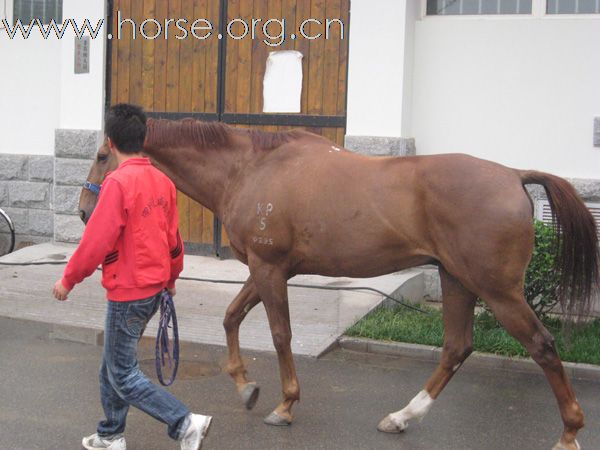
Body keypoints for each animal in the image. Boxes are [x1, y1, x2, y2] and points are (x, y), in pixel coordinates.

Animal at [78, 117, 596, 450]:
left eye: (103, 155)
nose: (85, 211)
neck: (250, 168)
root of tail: (513, 175)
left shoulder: (269, 270)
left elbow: (280, 335)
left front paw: (285, 405)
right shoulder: (268, 270)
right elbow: (230, 317)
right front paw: (246, 386)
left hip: (497, 291)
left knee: (542, 346)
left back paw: (569, 432)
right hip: (458, 281)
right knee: (456, 348)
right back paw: (401, 417)